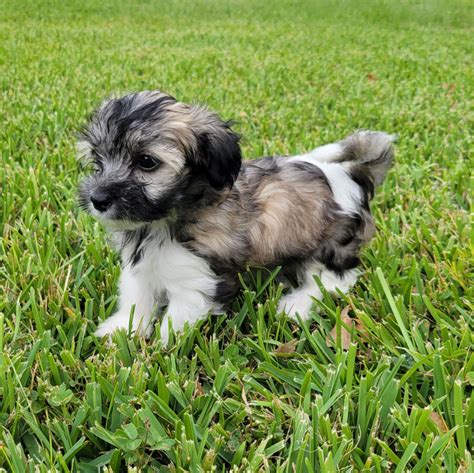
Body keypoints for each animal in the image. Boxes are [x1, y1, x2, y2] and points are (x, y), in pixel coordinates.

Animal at [78, 90, 394, 342]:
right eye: (98, 160)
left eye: (146, 161)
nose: (98, 199)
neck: (162, 221)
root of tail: (351, 174)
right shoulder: (141, 269)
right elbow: (137, 299)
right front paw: (121, 330)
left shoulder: (196, 279)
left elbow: (176, 319)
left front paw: (161, 350)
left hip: (331, 245)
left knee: (334, 280)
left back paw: (295, 305)